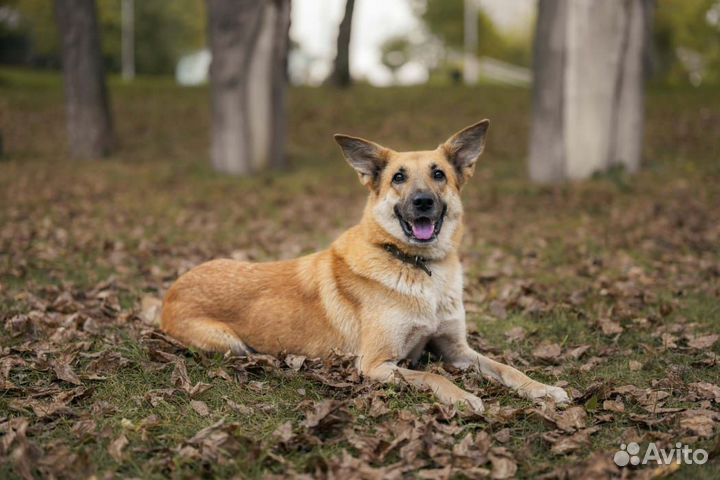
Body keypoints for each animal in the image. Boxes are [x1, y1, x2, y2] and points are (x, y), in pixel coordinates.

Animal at [160, 121, 572, 412]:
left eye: (438, 174)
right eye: (398, 177)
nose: (422, 202)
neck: (418, 267)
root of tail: (171, 290)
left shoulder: (457, 350)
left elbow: (507, 368)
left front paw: (543, 388)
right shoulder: (375, 363)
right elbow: (432, 377)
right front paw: (461, 396)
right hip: (231, 345)